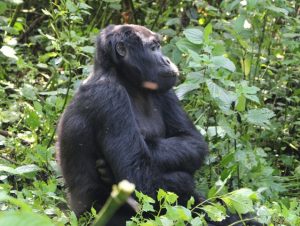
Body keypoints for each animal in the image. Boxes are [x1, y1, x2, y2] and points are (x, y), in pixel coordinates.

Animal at [56, 24, 260, 226]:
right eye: (153, 48)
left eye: (158, 47)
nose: (167, 60)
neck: (124, 79)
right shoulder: (108, 95)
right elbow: (139, 179)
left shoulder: (165, 88)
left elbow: (192, 141)